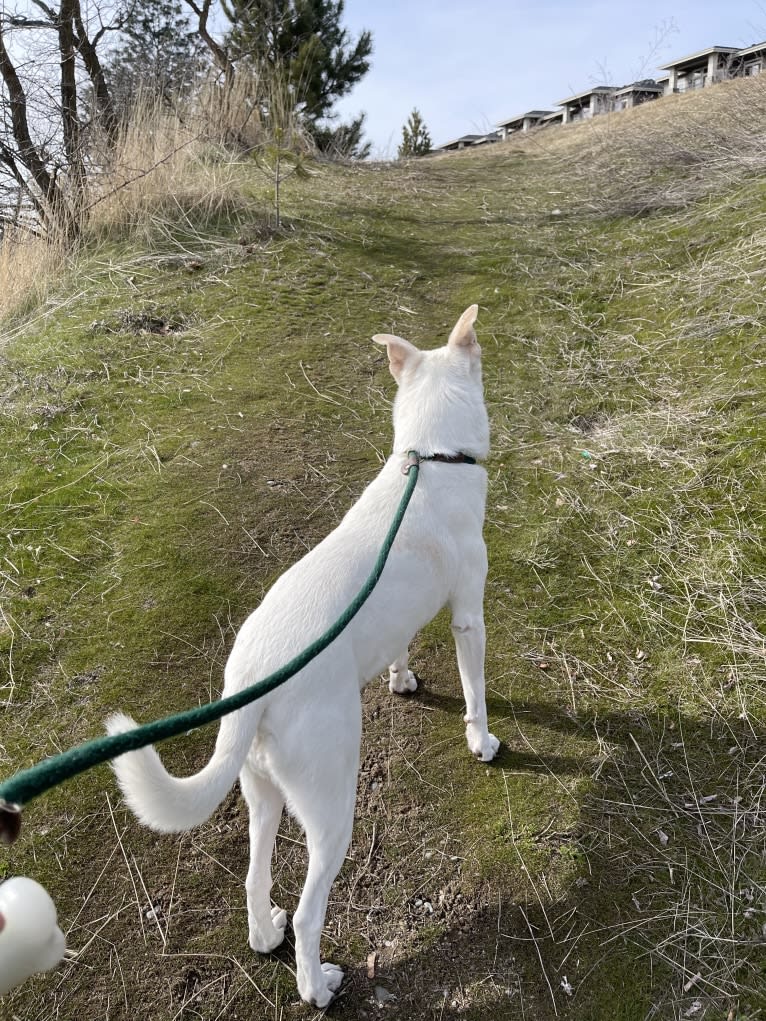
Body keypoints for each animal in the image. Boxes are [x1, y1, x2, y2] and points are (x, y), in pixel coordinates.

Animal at [109, 302, 504, 1004]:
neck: (429, 459)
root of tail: (250, 681)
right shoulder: (468, 616)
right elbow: (476, 694)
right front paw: (482, 742)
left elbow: (399, 646)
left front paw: (402, 679)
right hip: (332, 809)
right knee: (307, 912)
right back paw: (317, 985)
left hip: (262, 793)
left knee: (255, 877)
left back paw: (263, 934)